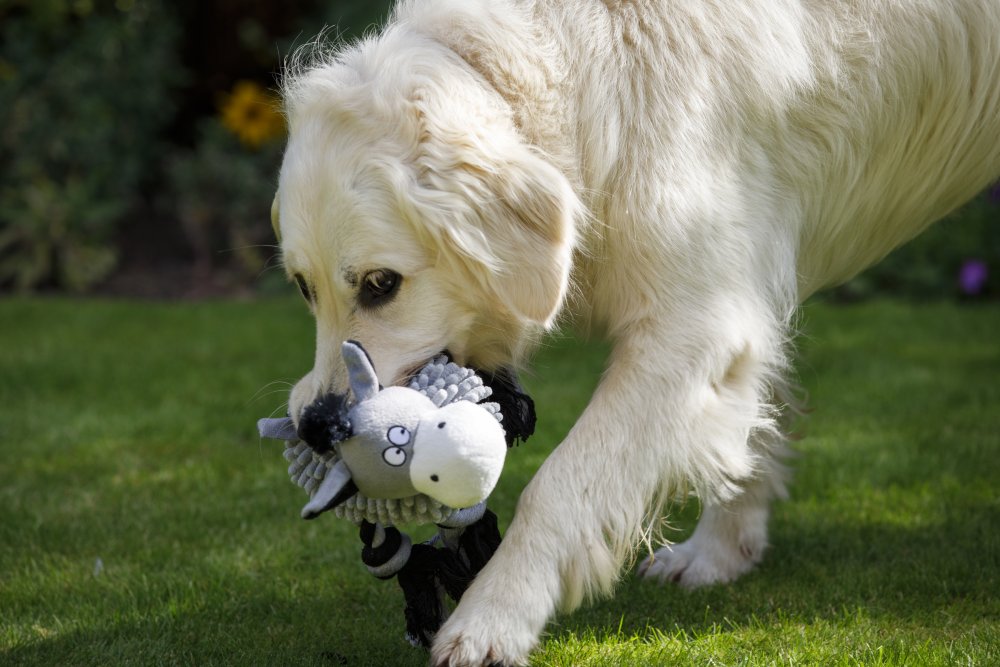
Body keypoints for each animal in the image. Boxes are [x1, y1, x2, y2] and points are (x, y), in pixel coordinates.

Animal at [272, 2, 1000, 664]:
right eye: (303, 286)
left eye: (380, 284)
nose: (317, 424)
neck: (575, 67)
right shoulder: (746, 292)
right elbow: (746, 428)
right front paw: (721, 553)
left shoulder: (696, 323)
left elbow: (560, 484)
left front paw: (491, 618)